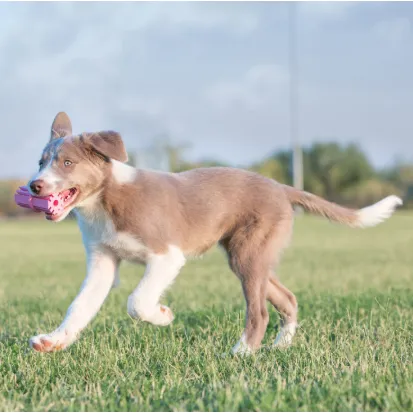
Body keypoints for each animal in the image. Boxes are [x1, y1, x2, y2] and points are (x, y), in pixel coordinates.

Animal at [27, 112, 400, 354]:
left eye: (68, 163)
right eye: (41, 161)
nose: (34, 185)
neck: (105, 202)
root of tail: (281, 187)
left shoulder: (166, 255)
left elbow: (137, 300)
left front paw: (162, 315)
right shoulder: (102, 261)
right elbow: (80, 306)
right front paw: (54, 340)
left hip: (249, 253)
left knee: (260, 311)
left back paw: (243, 353)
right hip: (249, 255)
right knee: (287, 299)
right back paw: (280, 346)